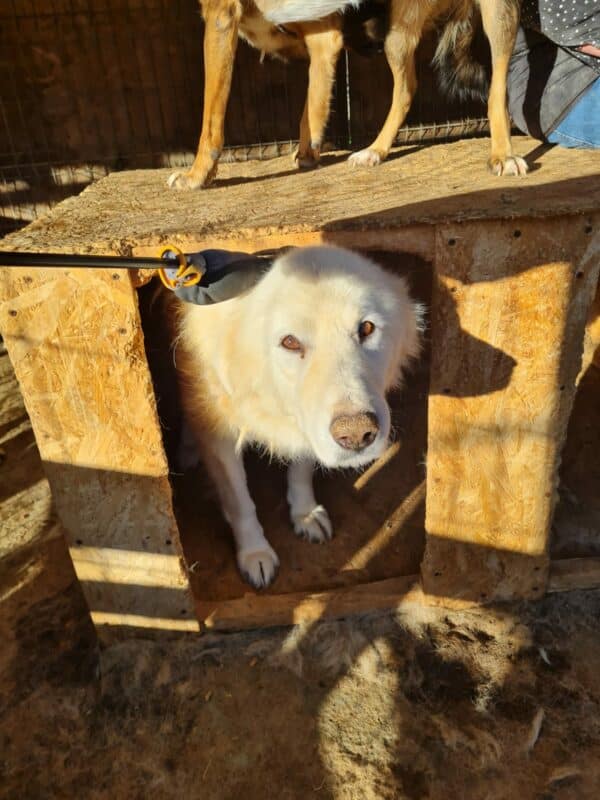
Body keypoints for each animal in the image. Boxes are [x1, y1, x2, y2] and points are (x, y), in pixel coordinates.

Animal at [166, 244, 422, 588]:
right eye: (290, 342)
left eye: (366, 328)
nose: (357, 434)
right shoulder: (222, 433)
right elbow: (239, 500)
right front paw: (255, 554)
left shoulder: (308, 423)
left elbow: (301, 468)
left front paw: (305, 513)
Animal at [168, 0, 524, 191]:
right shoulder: (321, 36)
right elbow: (313, 103)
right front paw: (308, 153)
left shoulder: (221, 19)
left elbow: (210, 118)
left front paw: (196, 175)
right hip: (398, 37)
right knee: (407, 88)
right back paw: (375, 151)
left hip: (494, 17)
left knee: (498, 89)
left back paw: (503, 154)